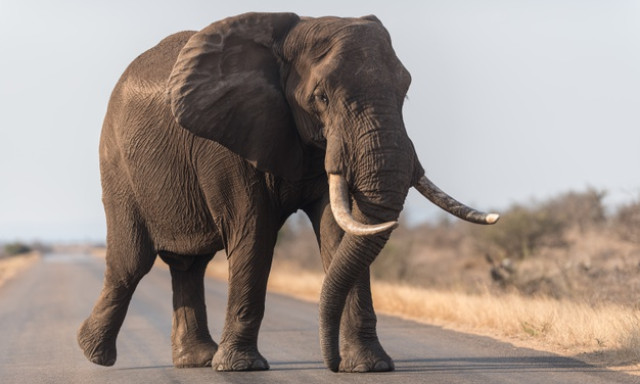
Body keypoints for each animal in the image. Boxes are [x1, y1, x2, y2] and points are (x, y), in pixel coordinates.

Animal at [79, 11, 500, 372]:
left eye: (406, 93)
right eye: (322, 98)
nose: (331, 363)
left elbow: (339, 232)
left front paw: (370, 366)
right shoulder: (226, 141)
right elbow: (254, 234)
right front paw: (242, 367)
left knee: (190, 264)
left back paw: (195, 360)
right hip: (116, 165)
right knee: (131, 261)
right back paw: (94, 353)